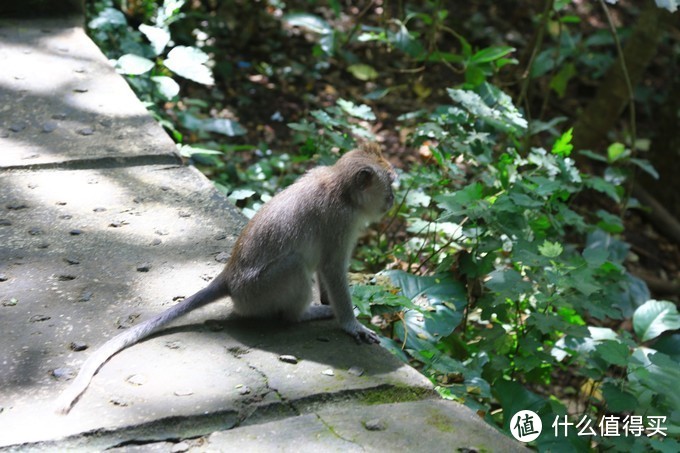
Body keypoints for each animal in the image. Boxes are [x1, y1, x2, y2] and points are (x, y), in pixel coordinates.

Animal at [55, 141, 396, 414]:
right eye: (390, 184)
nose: (393, 200)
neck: (343, 190)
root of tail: (229, 278)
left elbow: (327, 270)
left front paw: (332, 305)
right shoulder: (341, 222)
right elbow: (332, 267)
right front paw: (350, 323)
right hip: (260, 291)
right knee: (295, 266)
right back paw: (302, 315)